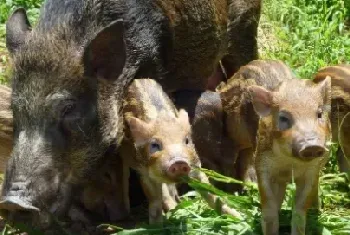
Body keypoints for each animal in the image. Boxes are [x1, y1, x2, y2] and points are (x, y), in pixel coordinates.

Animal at [120, 79, 241, 224]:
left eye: (186, 140)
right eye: (155, 145)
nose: (178, 162)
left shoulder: (195, 164)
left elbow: (210, 192)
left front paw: (239, 216)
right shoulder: (143, 171)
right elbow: (155, 202)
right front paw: (157, 226)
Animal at [249, 76, 330, 234]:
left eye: (319, 114)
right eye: (283, 118)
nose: (311, 145)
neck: (290, 163)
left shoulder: (312, 171)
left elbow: (300, 210)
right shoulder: (262, 166)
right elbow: (269, 207)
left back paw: (317, 209)